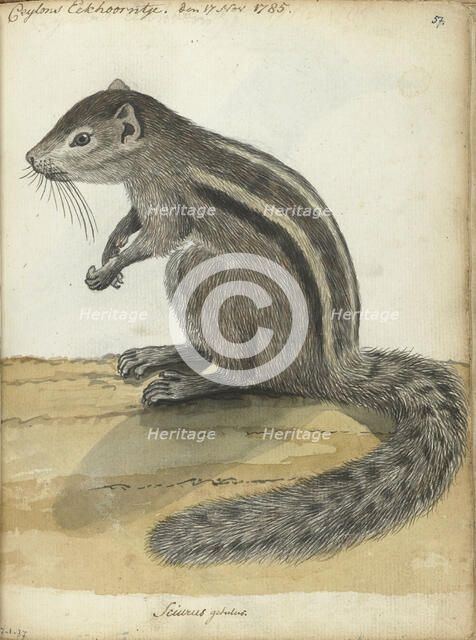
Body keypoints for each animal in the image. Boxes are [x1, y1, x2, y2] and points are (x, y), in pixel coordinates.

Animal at [26, 79, 467, 566]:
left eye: (81, 139)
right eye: (62, 122)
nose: (29, 157)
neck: (161, 149)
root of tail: (331, 370)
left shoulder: (168, 199)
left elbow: (158, 238)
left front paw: (110, 267)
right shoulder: (143, 198)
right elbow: (131, 222)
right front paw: (110, 249)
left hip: (210, 281)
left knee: (244, 372)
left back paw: (183, 384)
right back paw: (156, 355)